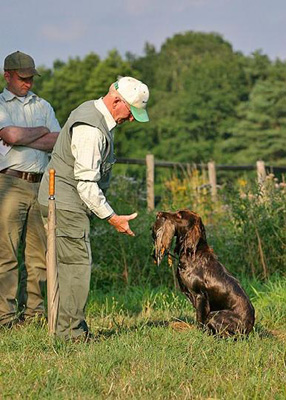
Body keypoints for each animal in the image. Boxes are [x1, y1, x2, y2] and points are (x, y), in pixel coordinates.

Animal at [152, 209, 255, 338]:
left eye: (179, 215)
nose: (159, 213)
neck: (193, 253)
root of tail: (249, 328)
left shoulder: (200, 296)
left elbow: (200, 319)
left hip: (215, 315)